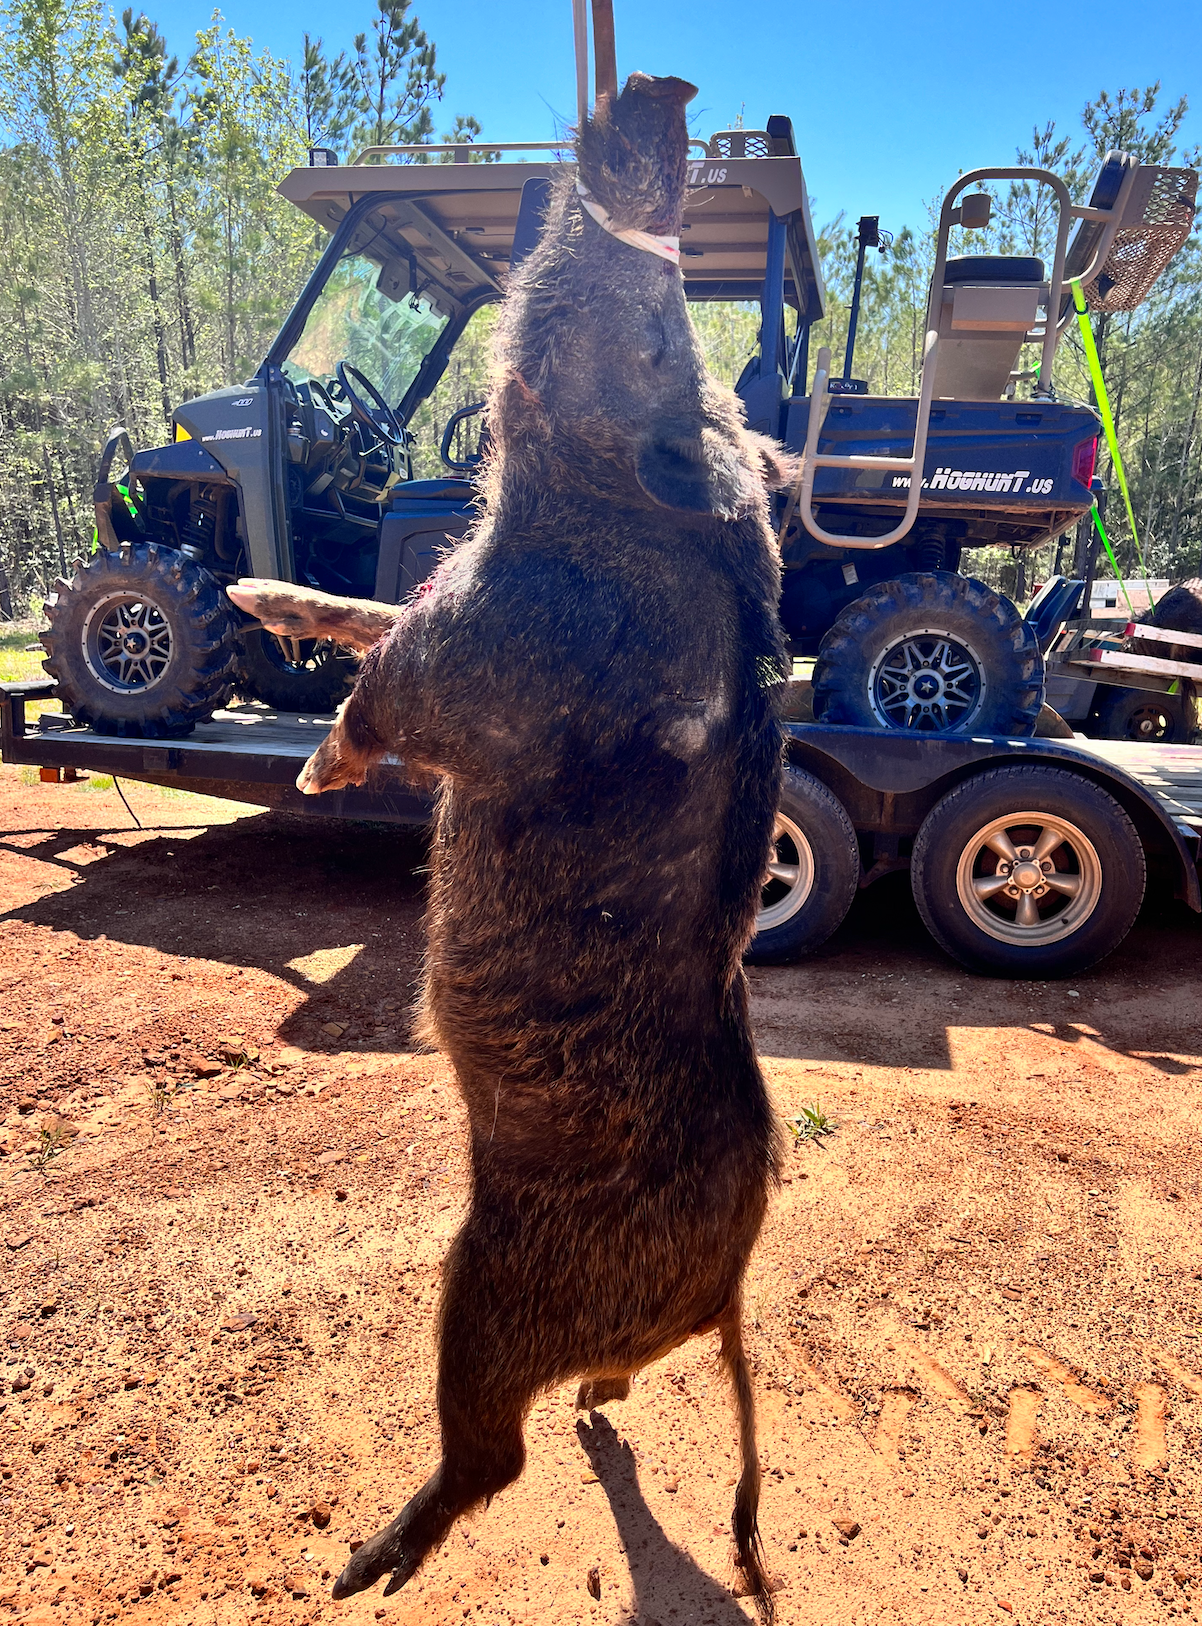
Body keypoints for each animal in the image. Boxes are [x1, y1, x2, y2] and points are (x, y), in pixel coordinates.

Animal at [229, 69, 788, 1619]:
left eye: (656, 336)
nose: (654, 100)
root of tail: (729, 1284)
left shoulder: (479, 654)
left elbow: (386, 679)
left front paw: (319, 762)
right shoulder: (444, 603)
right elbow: (355, 611)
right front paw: (250, 596)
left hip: (477, 1289)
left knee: (494, 1458)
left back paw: (359, 1565)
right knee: (599, 1402)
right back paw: (597, 1411)